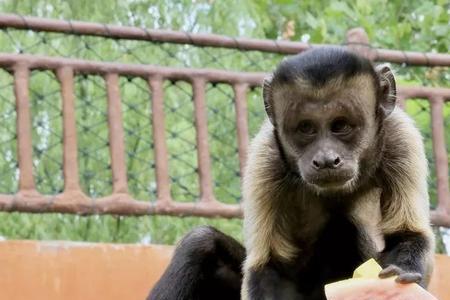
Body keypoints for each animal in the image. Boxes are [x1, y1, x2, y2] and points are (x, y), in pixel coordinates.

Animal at [147, 47, 432, 300]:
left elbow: (409, 235)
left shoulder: (399, 136)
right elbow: (268, 267)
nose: (326, 160)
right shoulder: (265, 156)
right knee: (200, 242)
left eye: (340, 125)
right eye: (306, 128)